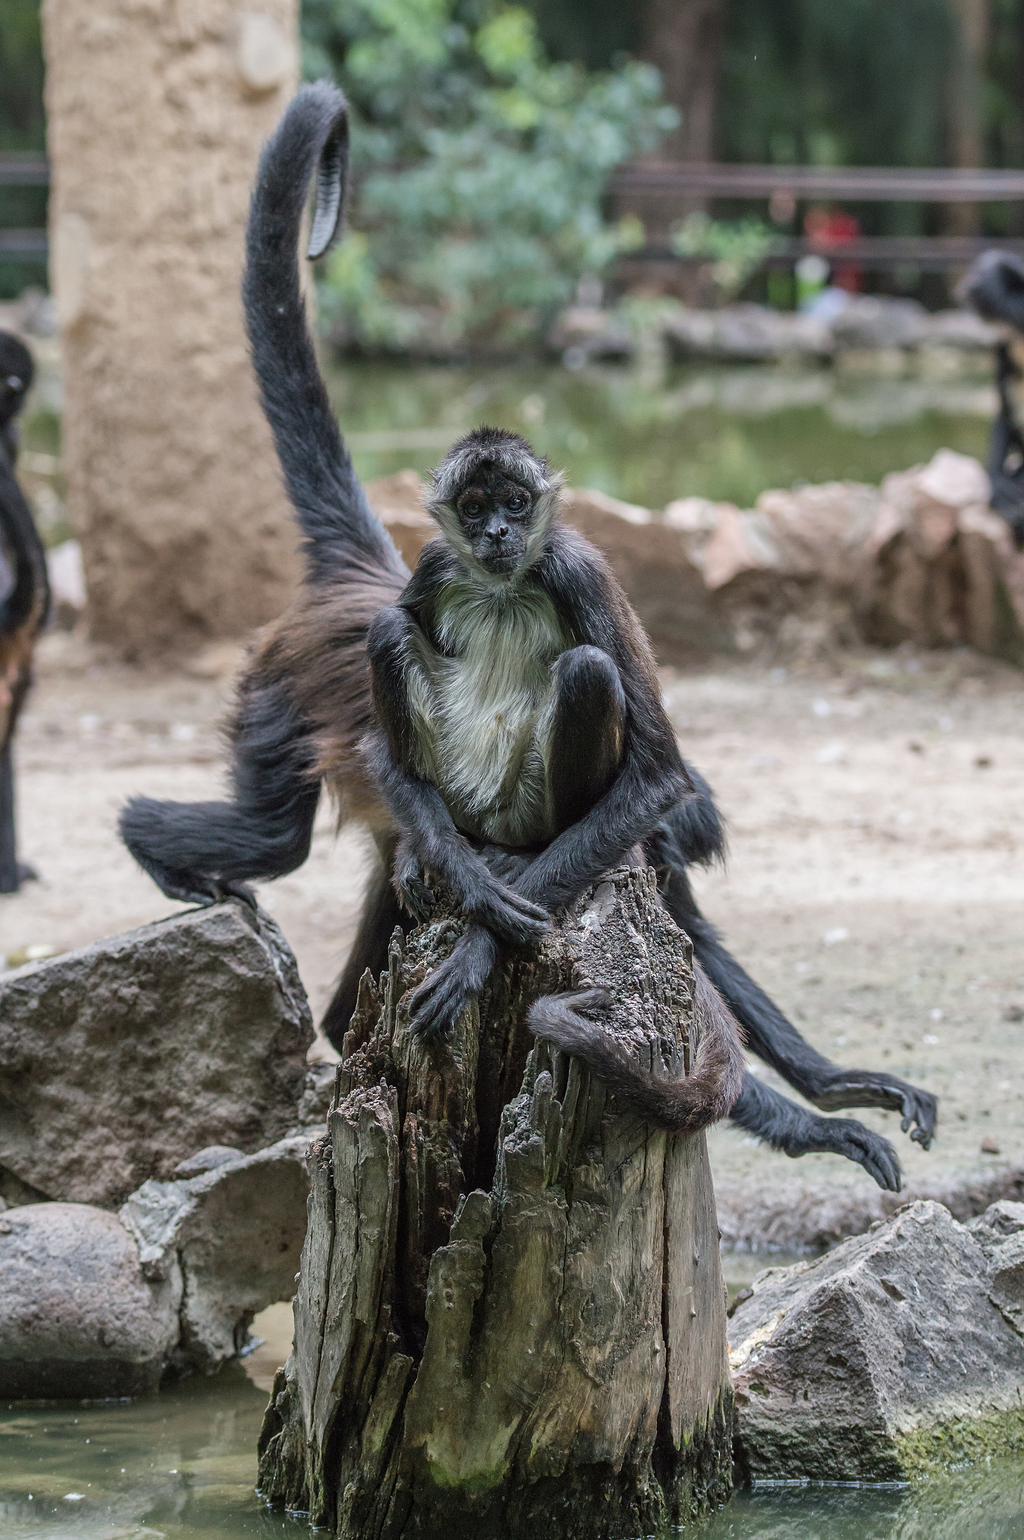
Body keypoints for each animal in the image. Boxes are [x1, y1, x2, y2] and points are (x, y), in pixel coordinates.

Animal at [117, 81, 936, 1188]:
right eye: (485, 507)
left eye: (513, 503)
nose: (501, 528)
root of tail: (359, 575)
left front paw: (837, 1088)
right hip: (278, 699)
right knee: (283, 826)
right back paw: (164, 846)